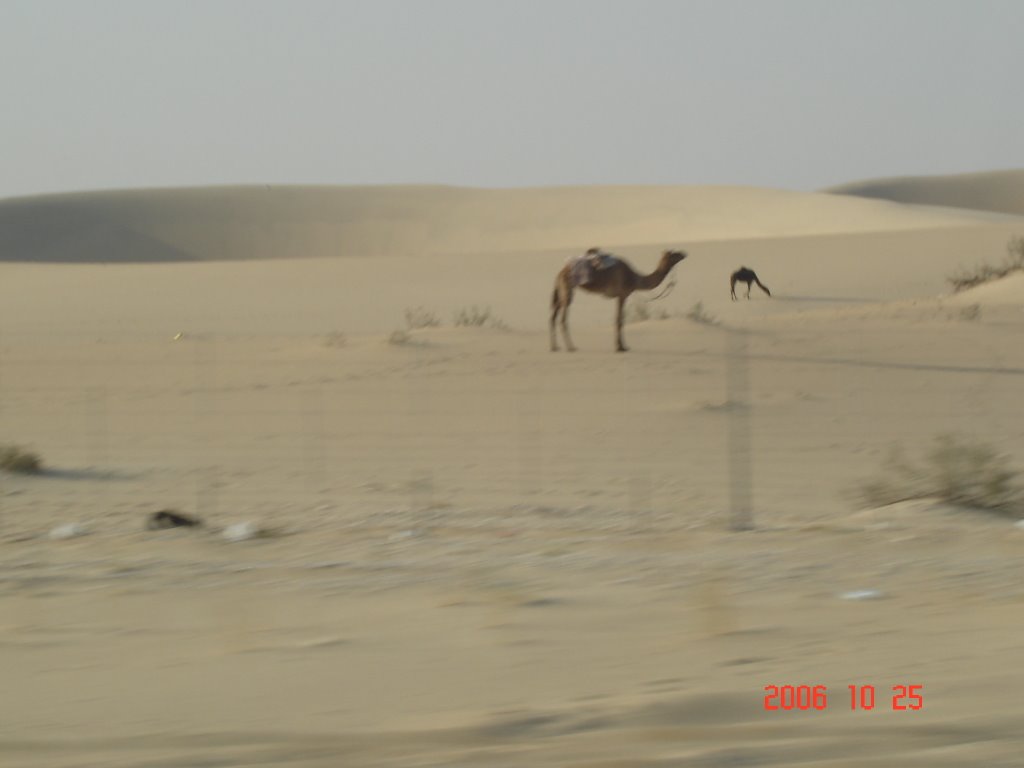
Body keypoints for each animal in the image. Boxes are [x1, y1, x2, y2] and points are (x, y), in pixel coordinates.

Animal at [552, 247, 688, 354]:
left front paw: (622, 346)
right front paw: (620, 347)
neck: (635, 278)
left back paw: (554, 347)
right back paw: (571, 347)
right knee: (563, 318)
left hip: (562, 291)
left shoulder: (619, 296)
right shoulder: (622, 295)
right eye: (675, 254)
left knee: (554, 314)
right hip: (567, 289)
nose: (684, 253)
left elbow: (619, 319)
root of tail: (561, 271)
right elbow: (620, 320)